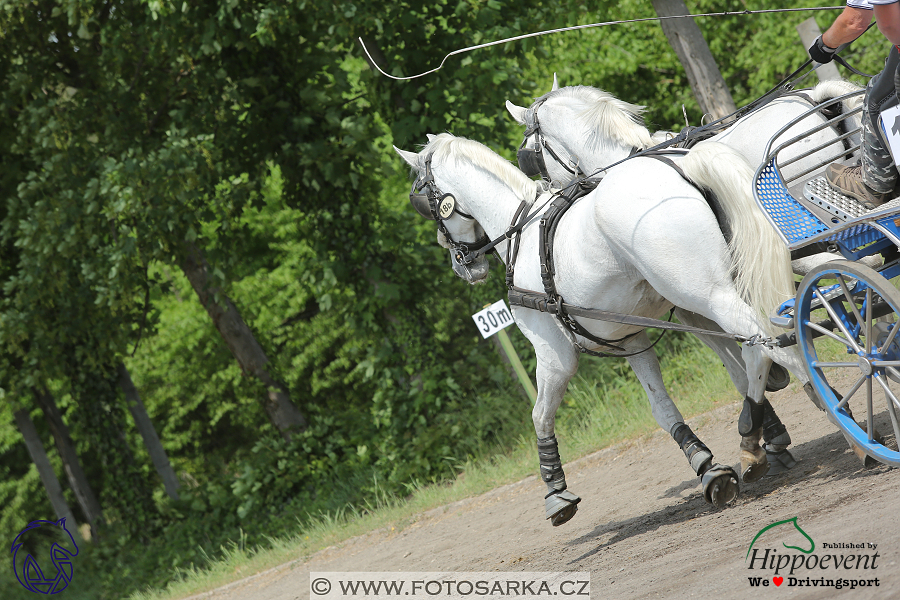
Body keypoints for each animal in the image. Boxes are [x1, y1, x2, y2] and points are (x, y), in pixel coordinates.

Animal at [394, 132, 808, 524]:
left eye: (424, 202)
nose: (461, 265)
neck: (522, 234)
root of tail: (685, 164)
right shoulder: (632, 340)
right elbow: (662, 408)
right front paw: (705, 467)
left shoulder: (554, 356)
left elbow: (539, 415)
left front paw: (556, 490)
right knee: (763, 345)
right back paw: (758, 439)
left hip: (706, 295)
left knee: (772, 346)